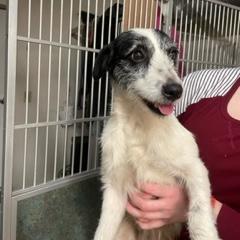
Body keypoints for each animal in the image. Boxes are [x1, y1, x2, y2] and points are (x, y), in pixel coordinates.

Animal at [92, 29, 219, 240]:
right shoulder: (114, 186)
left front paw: (205, 233)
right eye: (137, 54)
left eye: (173, 53)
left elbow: (199, 211)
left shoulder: (196, 169)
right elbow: (104, 229)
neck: (139, 125)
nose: (175, 90)